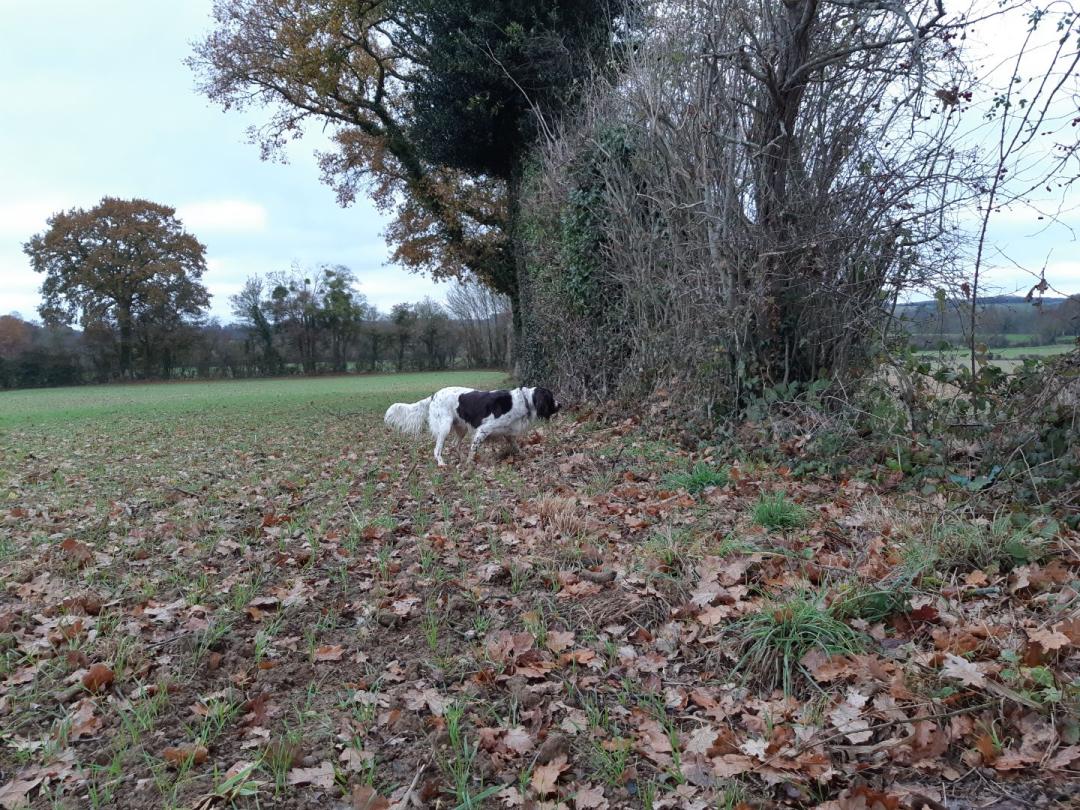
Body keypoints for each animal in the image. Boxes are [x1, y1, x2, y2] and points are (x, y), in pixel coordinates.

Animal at [384, 388, 561, 466]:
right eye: (551, 398)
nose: (561, 404)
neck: (523, 400)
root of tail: (434, 395)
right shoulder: (483, 430)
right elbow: (474, 449)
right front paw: (470, 464)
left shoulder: (507, 432)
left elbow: (516, 446)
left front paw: (524, 456)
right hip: (444, 427)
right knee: (437, 450)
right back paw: (442, 463)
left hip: (460, 428)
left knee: (455, 445)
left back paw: (460, 460)